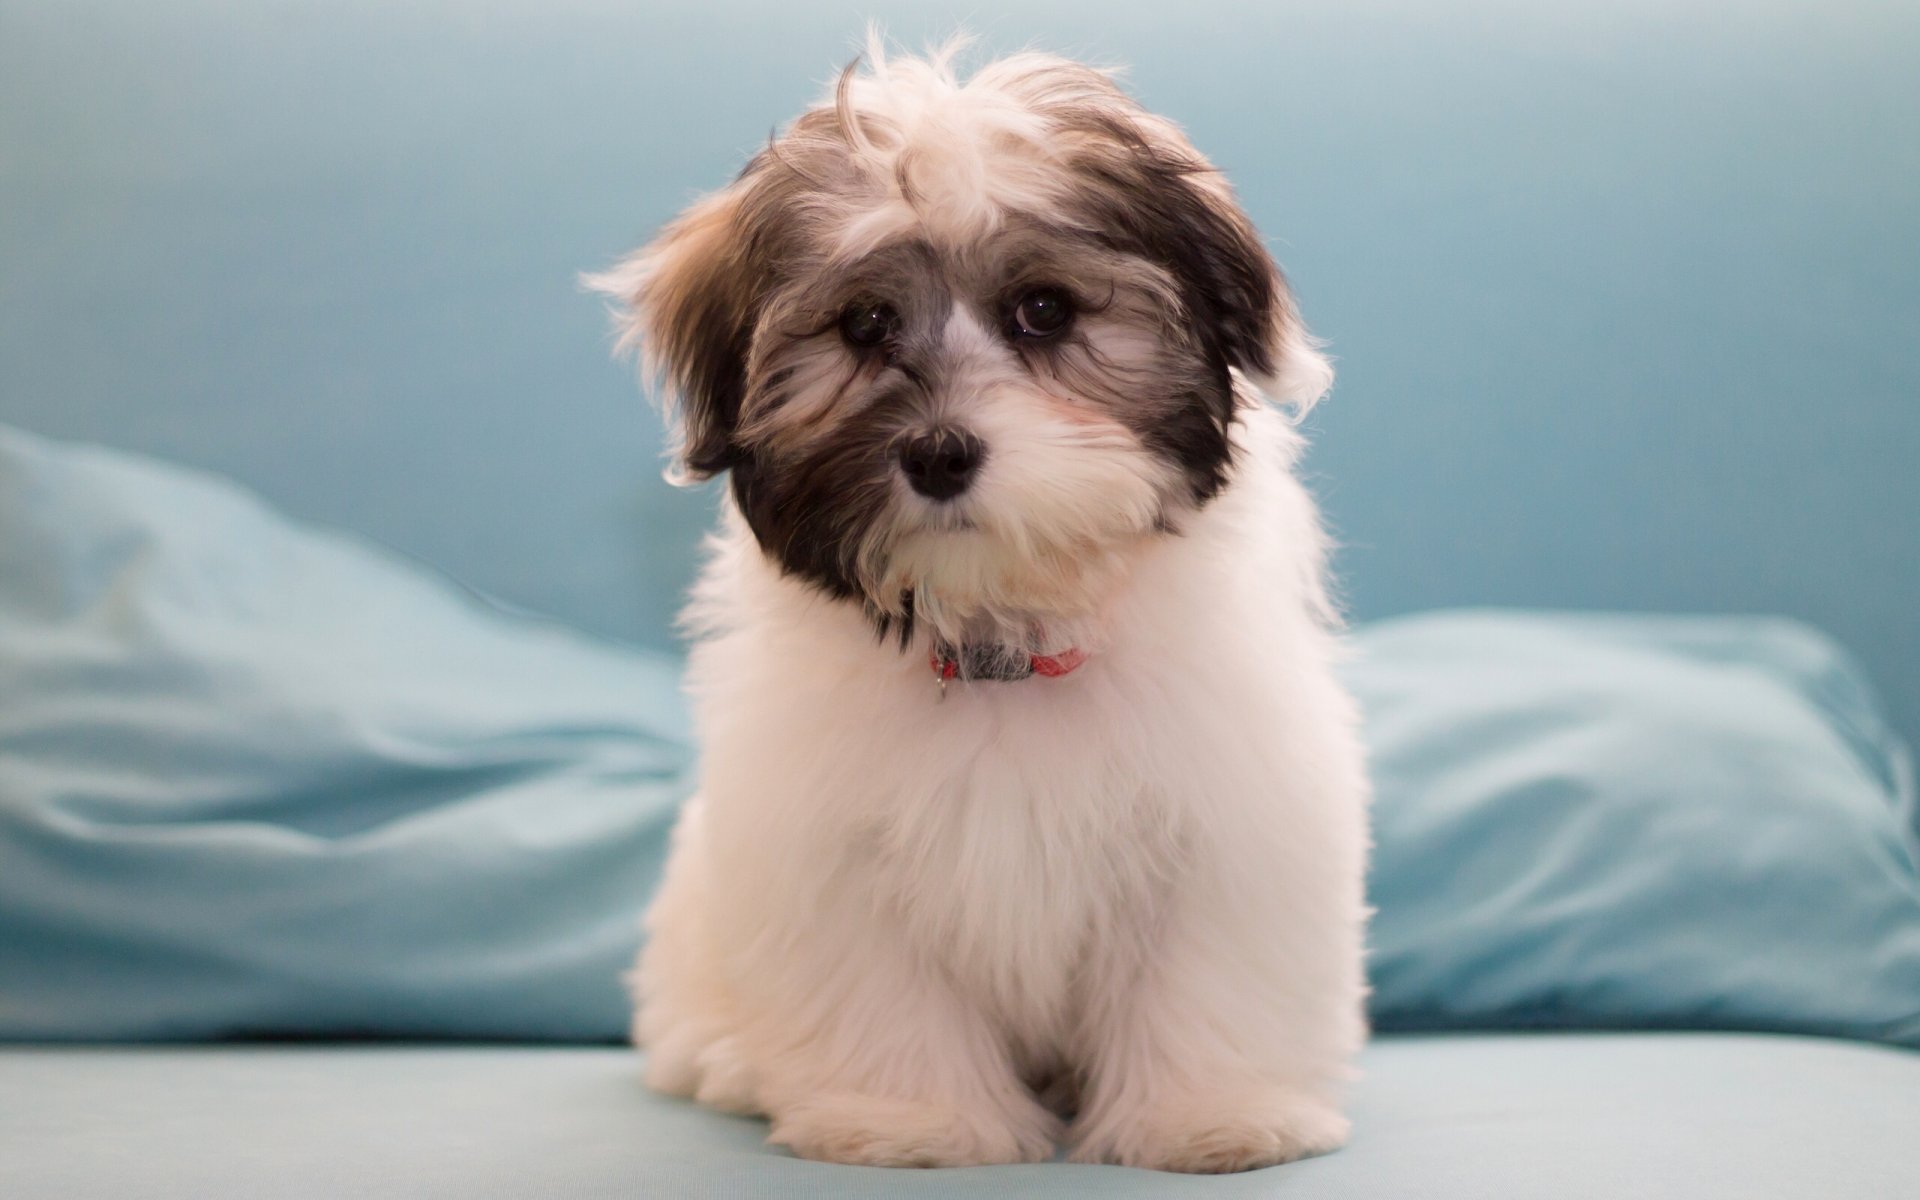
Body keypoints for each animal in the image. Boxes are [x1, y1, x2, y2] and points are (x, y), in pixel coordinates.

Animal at [583, 35, 1367, 1167]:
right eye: (865, 323)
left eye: (1044, 310)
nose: (939, 452)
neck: (1005, 640)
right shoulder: (829, 857)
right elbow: (885, 999)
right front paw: (913, 1124)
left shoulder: (1224, 831)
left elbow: (1202, 981)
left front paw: (1211, 1117)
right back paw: (731, 1063)